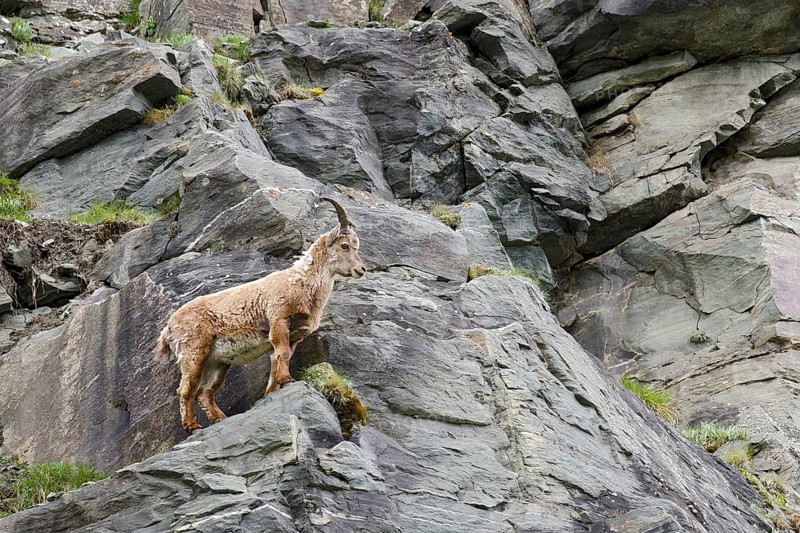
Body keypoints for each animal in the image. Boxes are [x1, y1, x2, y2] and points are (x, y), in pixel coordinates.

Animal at [156, 198, 366, 433]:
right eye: (344, 246)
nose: (361, 269)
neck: (300, 283)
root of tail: (168, 328)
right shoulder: (279, 320)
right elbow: (282, 352)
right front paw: (288, 379)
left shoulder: (295, 335)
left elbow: (278, 360)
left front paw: (273, 390)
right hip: (193, 352)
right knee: (185, 389)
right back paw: (192, 425)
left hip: (217, 362)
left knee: (204, 392)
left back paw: (220, 418)